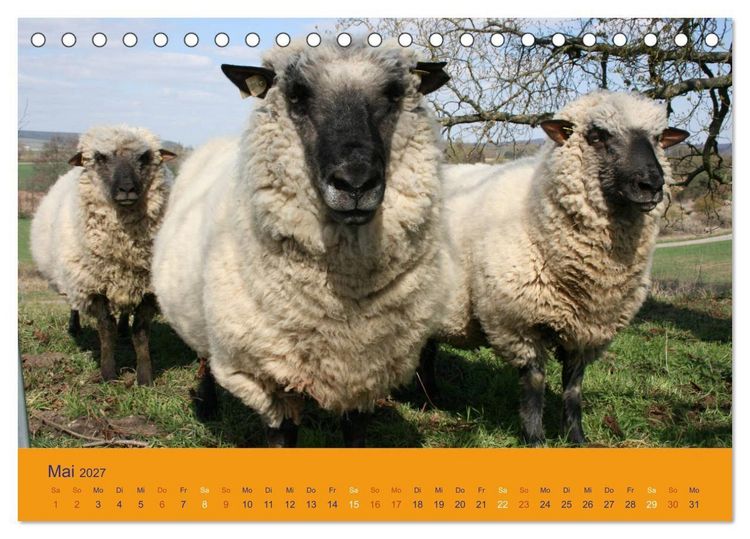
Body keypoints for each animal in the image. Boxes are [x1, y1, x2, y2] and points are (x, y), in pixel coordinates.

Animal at [30, 126, 176, 386]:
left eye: (145, 157)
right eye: (100, 158)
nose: (127, 189)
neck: (125, 245)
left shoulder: (149, 288)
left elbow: (140, 331)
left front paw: (145, 377)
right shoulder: (92, 286)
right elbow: (105, 329)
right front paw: (108, 374)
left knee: (125, 310)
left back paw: (123, 330)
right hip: (72, 276)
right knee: (74, 304)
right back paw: (74, 327)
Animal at [151, 40, 450, 447]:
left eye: (394, 93)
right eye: (296, 94)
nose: (355, 182)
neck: (344, 298)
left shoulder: (364, 372)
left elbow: (354, 435)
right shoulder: (268, 377)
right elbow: (282, 436)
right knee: (204, 358)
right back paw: (208, 404)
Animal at [420, 91, 689, 445]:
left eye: (658, 138)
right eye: (596, 135)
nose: (651, 184)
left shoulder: (587, 331)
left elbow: (573, 388)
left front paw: (577, 438)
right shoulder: (517, 322)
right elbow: (534, 385)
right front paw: (535, 439)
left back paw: (430, 399)